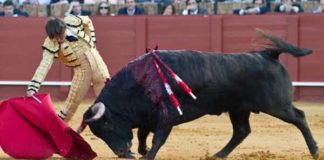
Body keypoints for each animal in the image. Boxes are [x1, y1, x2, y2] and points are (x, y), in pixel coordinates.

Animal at [80, 29, 318, 159]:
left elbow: (157, 139)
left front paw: (147, 155)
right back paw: (218, 155)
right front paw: (142, 150)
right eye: (99, 133)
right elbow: (142, 134)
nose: (121, 152)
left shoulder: (166, 117)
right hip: (238, 108)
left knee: (299, 118)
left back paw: (315, 150)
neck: (139, 82)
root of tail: (268, 54)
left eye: (107, 125)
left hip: (276, 105)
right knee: (242, 131)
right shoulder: (148, 116)